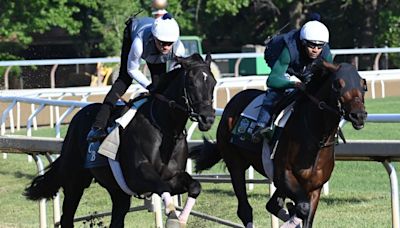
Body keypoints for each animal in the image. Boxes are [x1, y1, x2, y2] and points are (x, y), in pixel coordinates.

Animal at [23, 52, 217, 227]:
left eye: (213, 83)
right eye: (191, 83)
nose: (207, 118)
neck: (165, 129)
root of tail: (77, 117)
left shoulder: (173, 175)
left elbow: (195, 186)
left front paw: (181, 218)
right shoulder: (140, 176)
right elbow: (164, 188)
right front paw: (172, 217)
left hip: (117, 191)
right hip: (75, 181)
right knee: (67, 218)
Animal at [191, 61, 368, 227]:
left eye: (363, 85)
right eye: (338, 84)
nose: (359, 115)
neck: (316, 138)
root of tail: (233, 101)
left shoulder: (314, 187)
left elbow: (305, 215)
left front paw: (291, 210)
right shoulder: (284, 175)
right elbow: (302, 208)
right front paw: (292, 211)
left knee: (271, 205)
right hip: (235, 163)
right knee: (245, 209)